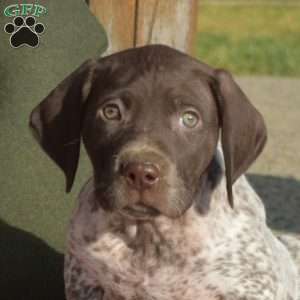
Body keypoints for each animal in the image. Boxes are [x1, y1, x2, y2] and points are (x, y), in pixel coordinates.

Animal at [29, 44, 298, 300]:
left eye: (189, 118)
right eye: (111, 112)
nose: (140, 173)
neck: (147, 236)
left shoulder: (248, 286)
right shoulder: (85, 280)